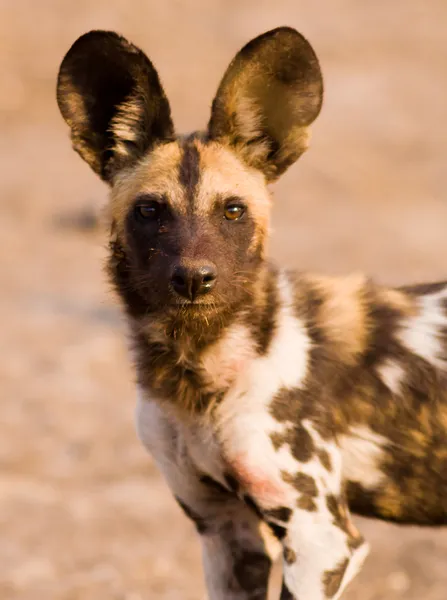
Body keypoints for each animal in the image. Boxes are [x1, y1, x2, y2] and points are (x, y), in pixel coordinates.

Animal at [57, 27, 447, 600]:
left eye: (233, 211)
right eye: (149, 210)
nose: (193, 278)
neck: (194, 369)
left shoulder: (322, 539)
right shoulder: (224, 531)